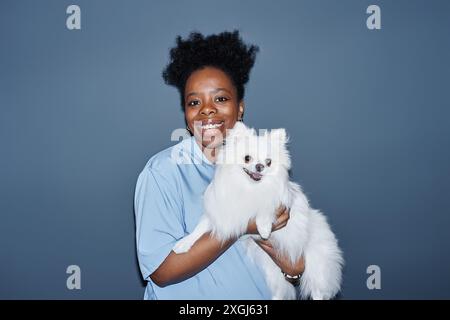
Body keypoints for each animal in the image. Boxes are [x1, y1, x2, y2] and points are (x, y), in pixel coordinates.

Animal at [174, 123, 342, 300]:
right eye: (247, 158)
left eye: (268, 162)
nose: (260, 166)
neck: (250, 188)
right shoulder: (221, 212)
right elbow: (199, 229)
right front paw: (184, 243)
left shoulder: (278, 203)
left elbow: (265, 210)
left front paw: (264, 228)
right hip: (273, 271)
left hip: (317, 266)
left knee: (319, 291)